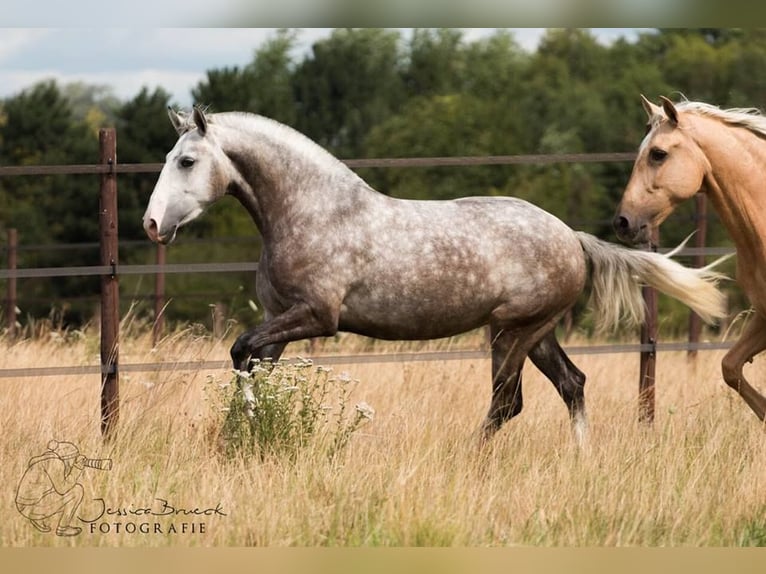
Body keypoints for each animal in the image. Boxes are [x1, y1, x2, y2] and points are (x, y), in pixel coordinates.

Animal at [144, 107, 728, 446]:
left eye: (187, 161)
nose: (152, 224)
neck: (311, 212)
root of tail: (573, 238)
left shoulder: (315, 317)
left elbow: (241, 351)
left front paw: (250, 430)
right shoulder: (279, 319)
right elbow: (252, 364)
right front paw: (243, 436)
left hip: (512, 332)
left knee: (507, 403)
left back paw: (471, 460)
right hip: (537, 333)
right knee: (572, 385)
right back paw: (581, 461)